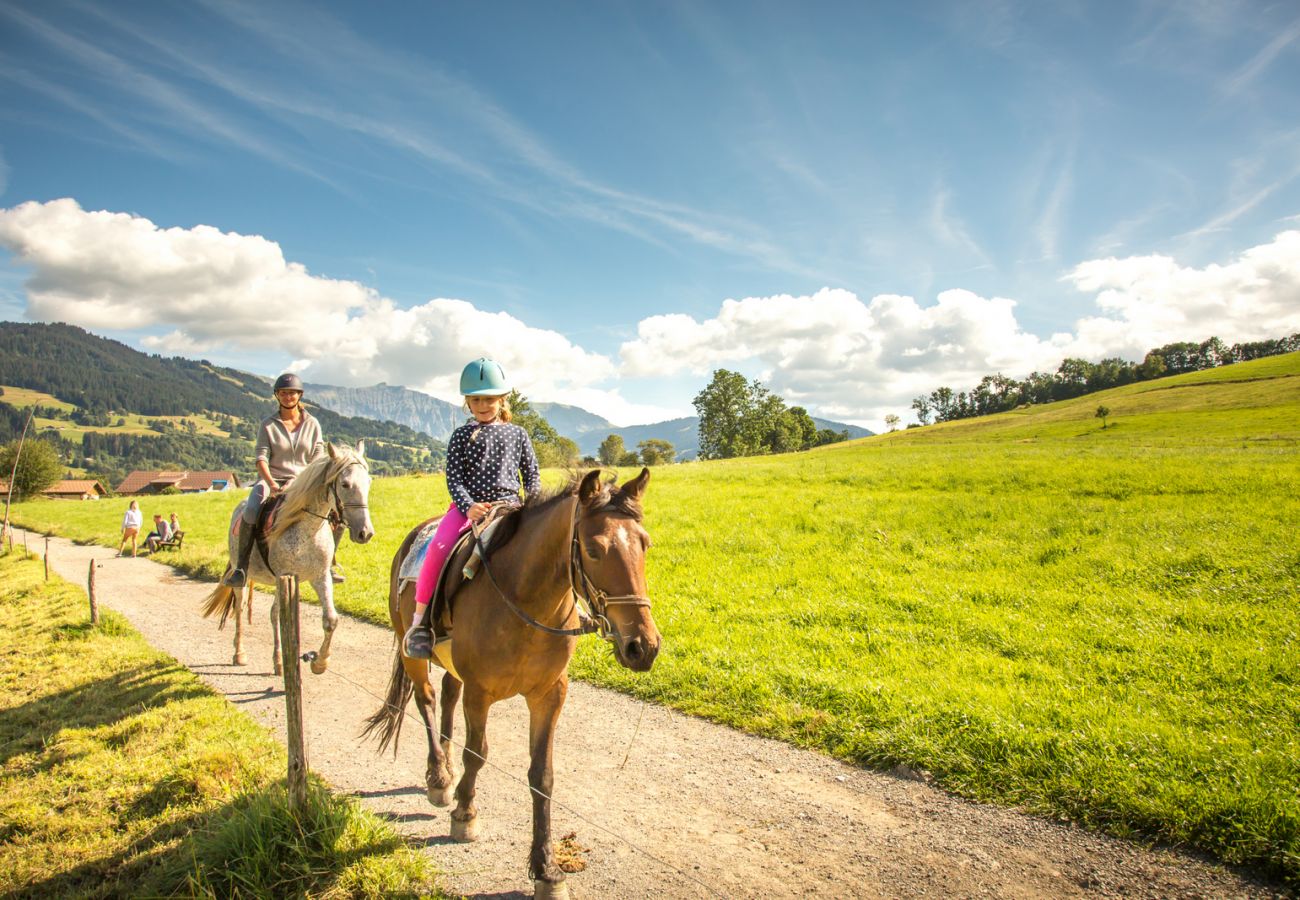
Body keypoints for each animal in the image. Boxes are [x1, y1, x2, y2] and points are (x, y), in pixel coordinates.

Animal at [366, 468, 665, 894]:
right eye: (593, 550)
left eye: (645, 545)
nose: (643, 646)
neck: (526, 603)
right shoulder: (480, 693)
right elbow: (477, 754)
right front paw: (465, 813)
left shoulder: (550, 694)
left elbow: (542, 775)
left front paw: (547, 869)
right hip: (411, 653)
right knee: (425, 700)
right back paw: (439, 777)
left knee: (447, 696)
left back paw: (447, 773)